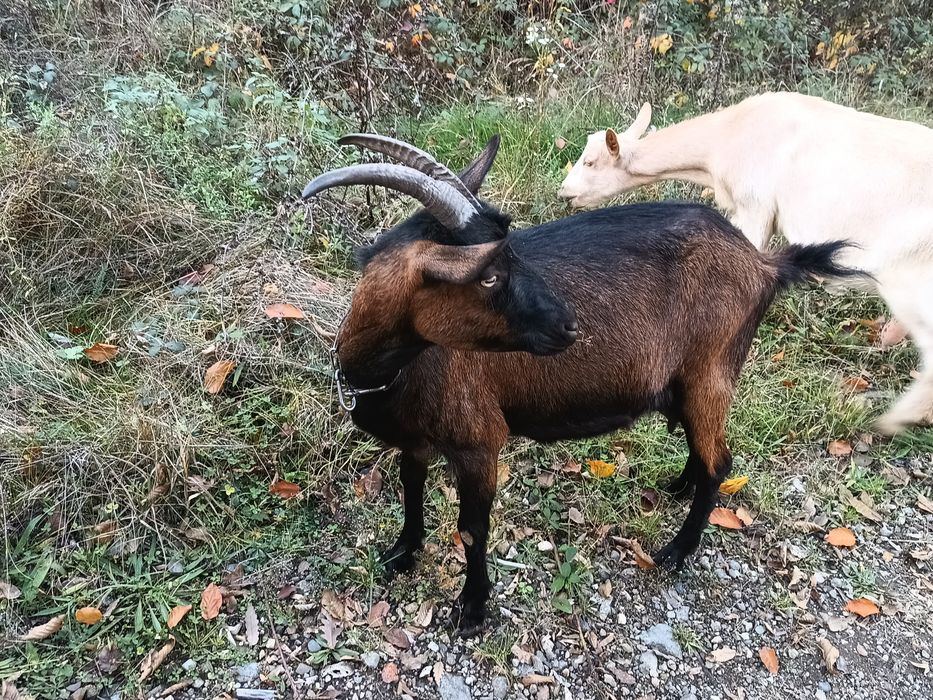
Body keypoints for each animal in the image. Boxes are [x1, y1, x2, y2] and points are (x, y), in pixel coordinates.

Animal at [301, 133, 857, 636]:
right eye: (489, 275)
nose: (569, 326)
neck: (391, 374)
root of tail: (763, 262)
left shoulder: (479, 441)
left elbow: (472, 529)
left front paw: (473, 610)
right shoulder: (414, 439)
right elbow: (411, 489)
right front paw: (401, 553)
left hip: (712, 370)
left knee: (720, 462)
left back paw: (677, 550)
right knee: (703, 450)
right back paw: (678, 486)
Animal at [558, 91, 933, 434]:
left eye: (589, 162)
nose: (564, 192)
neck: (723, 140)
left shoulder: (755, 207)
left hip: (909, 279)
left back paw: (892, 420)